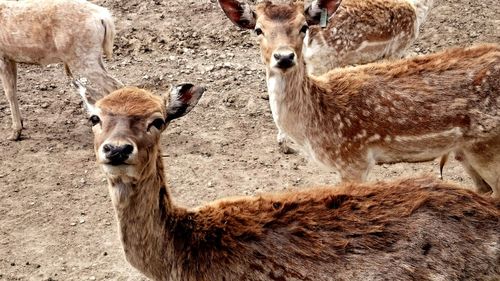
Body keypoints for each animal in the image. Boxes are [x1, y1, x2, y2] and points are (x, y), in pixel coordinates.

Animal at [0, 0, 123, 140]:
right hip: (94, 56)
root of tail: (104, 17)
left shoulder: (2, 57)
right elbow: (14, 90)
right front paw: (20, 125)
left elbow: (9, 92)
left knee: (115, 85)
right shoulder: (11, 58)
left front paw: (15, 133)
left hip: (81, 57)